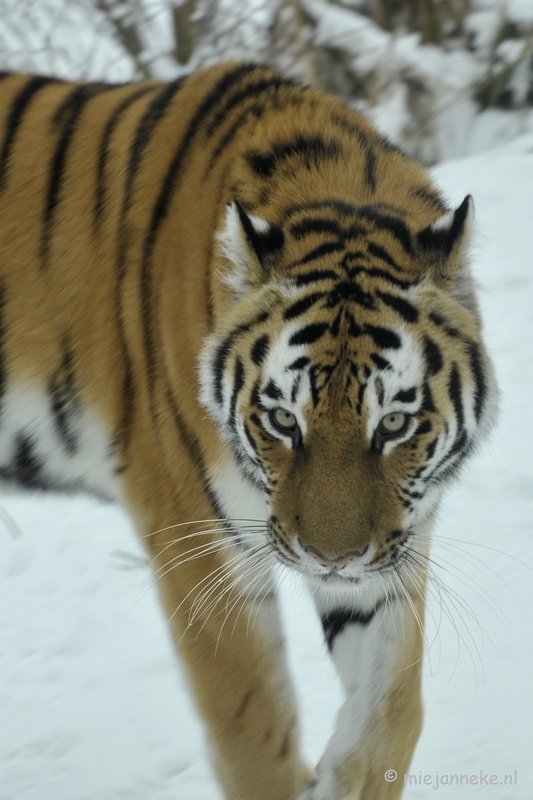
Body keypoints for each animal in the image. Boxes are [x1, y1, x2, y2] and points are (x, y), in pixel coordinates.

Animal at [0, 64, 496, 800]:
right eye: (282, 420)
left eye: (394, 424)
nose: (329, 561)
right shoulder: (201, 546)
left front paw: (344, 777)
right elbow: (253, 730)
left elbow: (395, 707)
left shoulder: (389, 557)